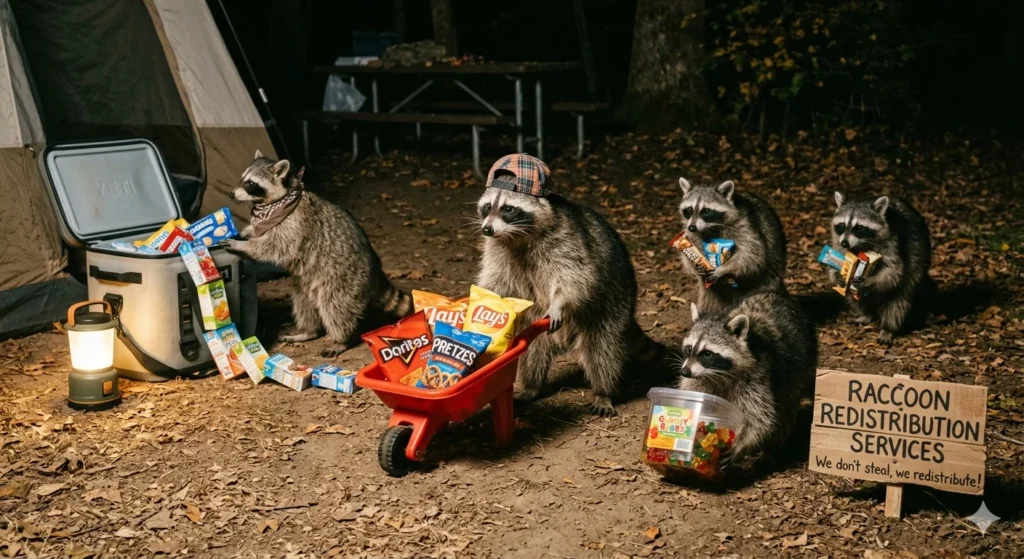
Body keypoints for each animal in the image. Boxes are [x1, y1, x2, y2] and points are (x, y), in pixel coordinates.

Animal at [227, 151, 412, 357]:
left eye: (251, 183)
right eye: (243, 178)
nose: (232, 194)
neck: (278, 202)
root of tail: (375, 268)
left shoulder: (294, 225)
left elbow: (274, 247)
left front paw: (244, 245)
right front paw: (245, 233)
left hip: (345, 279)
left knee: (335, 307)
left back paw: (341, 339)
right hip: (307, 284)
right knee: (304, 304)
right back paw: (308, 332)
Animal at [476, 188, 661, 416]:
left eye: (509, 209)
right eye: (487, 206)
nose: (487, 229)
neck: (518, 237)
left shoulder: (566, 241)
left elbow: (575, 276)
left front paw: (558, 304)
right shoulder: (497, 249)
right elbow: (496, 280)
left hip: (615, 299)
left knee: (602, 347)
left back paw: (603, 391)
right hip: (536, 316)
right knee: (535, 347)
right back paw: (532, 386)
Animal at [677, 179, 789, 314]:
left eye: (706, 211)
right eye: (689, 209)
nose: (692, 227)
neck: (710, 228)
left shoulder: (744, 225)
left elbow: (753, 254)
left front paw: (723, 269)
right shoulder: (690, 232)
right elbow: (690, 250)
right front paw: (695, 264)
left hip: (770, 273)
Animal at [678, 292, 818, 461]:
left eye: (707, 353)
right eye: (689, 348)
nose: (685, 372)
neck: (718, 375)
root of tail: (779, 296)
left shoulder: (757, 374)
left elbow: (759, 416)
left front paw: (740, 445)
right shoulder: (701, 378)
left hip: (800, 365)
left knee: (786, 404)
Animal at [831, 193, 933, 345]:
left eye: (859, 227)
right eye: (842, 225)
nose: (845, 243)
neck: (861, 245)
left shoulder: (893, 243)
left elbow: (893, 271)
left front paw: (867, 280)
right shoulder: (838, 240)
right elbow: (837, 259)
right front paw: (837, 274)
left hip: (918, 258)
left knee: (899, 297)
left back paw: (888, 328)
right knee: (854, 295)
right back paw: (866, 314)